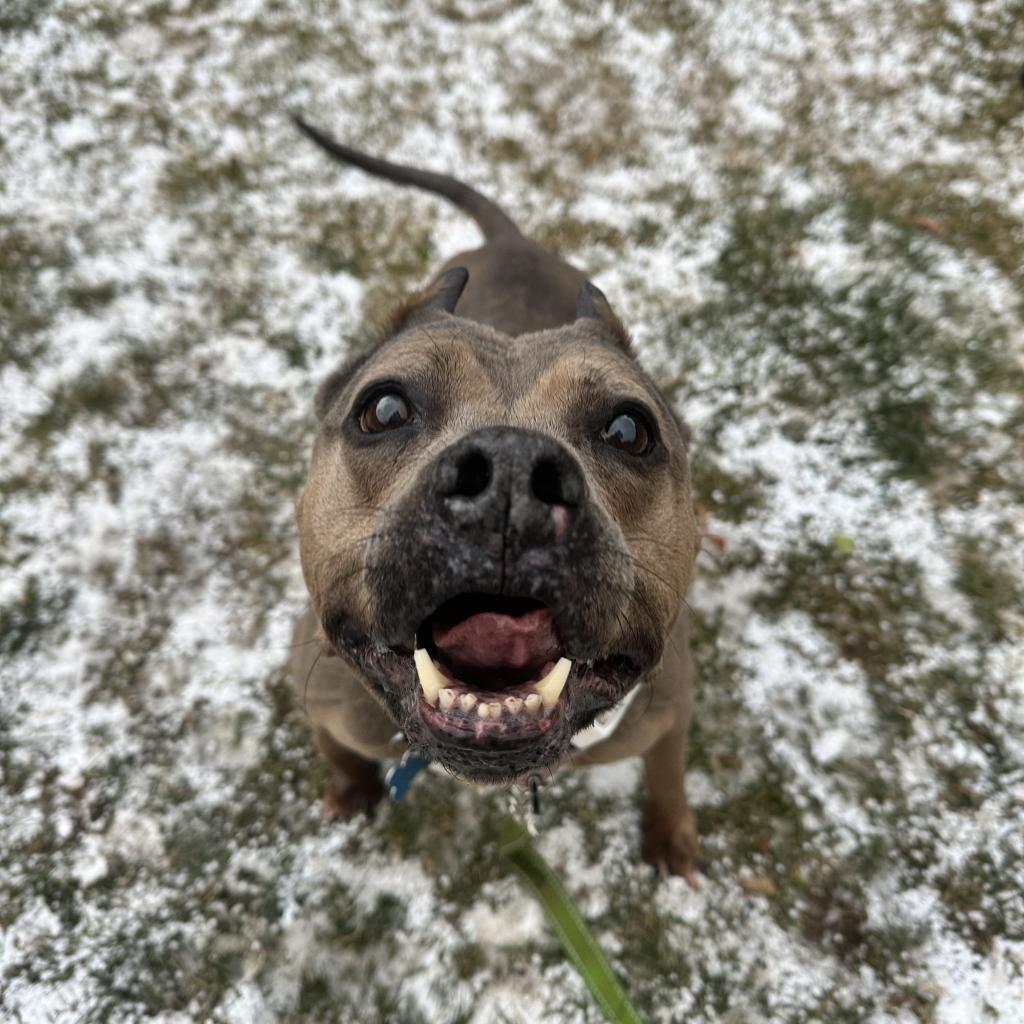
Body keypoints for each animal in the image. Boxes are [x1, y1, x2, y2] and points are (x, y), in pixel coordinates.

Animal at [290, 116, 704, 876]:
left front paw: (669, 833)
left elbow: (668, 769)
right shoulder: (324, 698)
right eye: (383, 409)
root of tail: (510, 240)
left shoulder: (669, 706)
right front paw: (351, 790)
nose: (510, 478)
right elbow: (338, 752)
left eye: (629, 429)